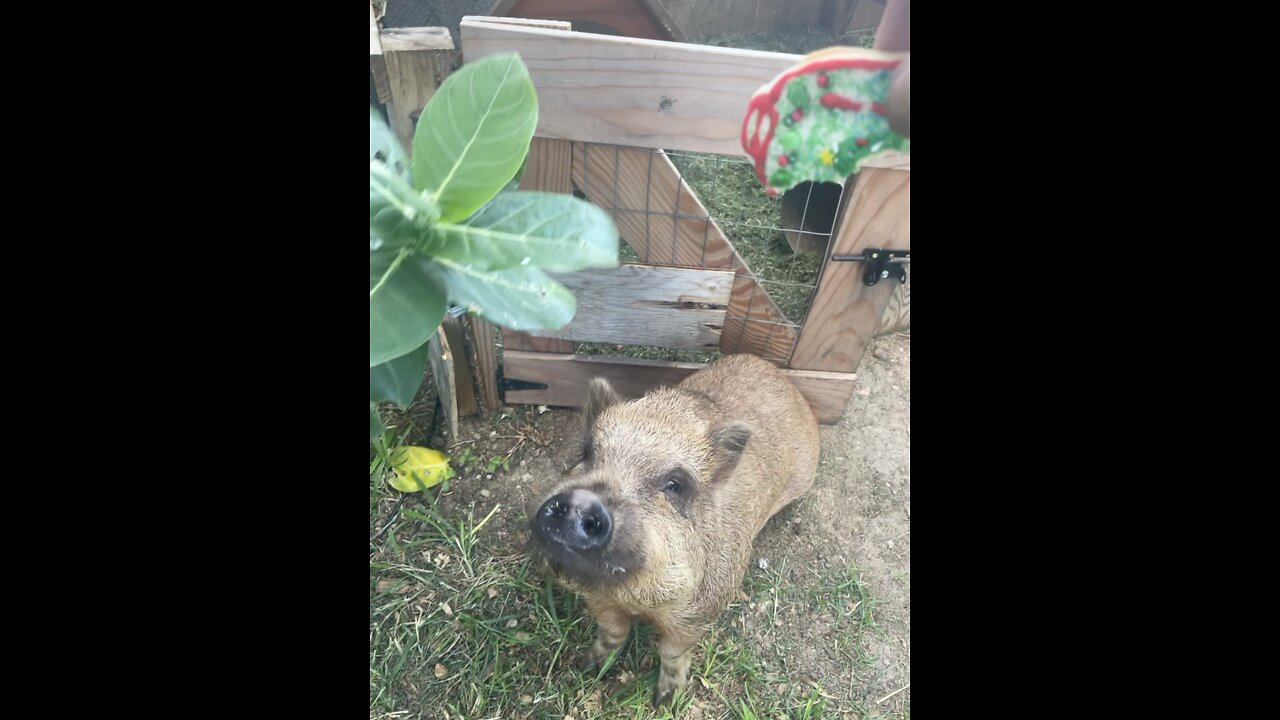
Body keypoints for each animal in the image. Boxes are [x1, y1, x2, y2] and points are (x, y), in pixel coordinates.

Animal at [529, 353, 820, 706]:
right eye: (586, 452)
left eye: (675, 484)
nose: (582, 500)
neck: (636, 598)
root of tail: (776, 373)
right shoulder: (595, 597)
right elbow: (612, 632)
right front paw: (587, 667)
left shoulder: (701, 612)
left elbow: (672, 653)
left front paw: (665, 701)